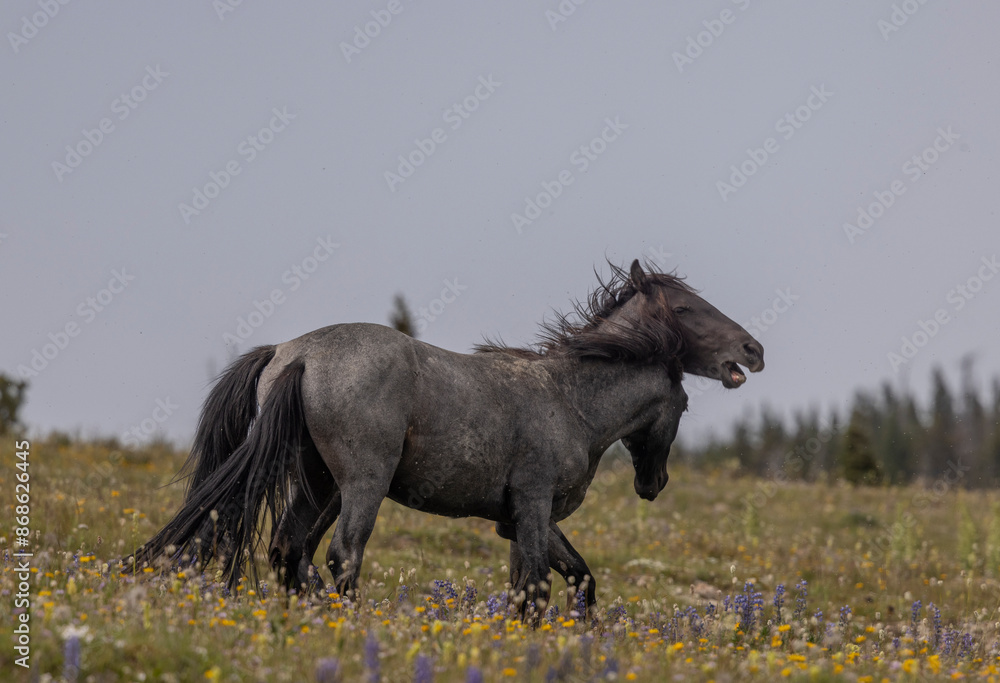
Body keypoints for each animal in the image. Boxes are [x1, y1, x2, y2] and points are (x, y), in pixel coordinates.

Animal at [129, 260, 764, 620]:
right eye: (686, 307)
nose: (753, 350)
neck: (569, 397)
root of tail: (297, 352)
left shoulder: (517, 518)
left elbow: (567, 579)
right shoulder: (533, 506)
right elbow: (537, 586)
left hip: (317, 483)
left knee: (290, 552)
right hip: (361, 483)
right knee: (340, 554)